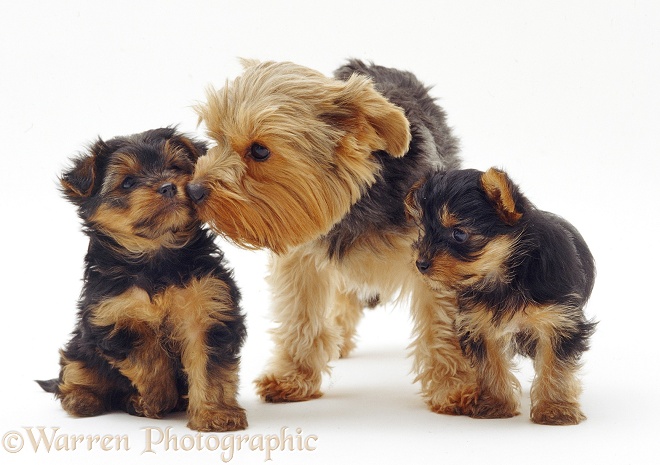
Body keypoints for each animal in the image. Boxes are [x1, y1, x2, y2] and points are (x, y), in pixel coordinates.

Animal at [39, 128, 250, 432]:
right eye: (128, 183)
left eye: (176, 167)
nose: (168, 186)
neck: (157, 255)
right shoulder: (115, 314)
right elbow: (148, 357)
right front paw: (156, 399)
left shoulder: (208, 306)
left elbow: (208, 364)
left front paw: (215, 414)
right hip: (80, 348)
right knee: (76, 371)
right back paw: (84, 399)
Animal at [186, 59, 480, 414]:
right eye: (217, 138)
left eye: (259, 151)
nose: (193, 190)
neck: (356, 202)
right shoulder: (302, 256)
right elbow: (301, 316)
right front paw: (293, 377)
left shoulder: (437, 259)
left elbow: (441, 326)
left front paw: (454, 387)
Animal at [408, 168, 600, 424]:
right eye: (424, 231)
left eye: (459, 234)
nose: (420, 264)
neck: (506, 275)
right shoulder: (478, 324)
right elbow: (491, 364)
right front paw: (496, 404)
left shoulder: (559, 321)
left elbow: (555, 364)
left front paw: (555, 408)